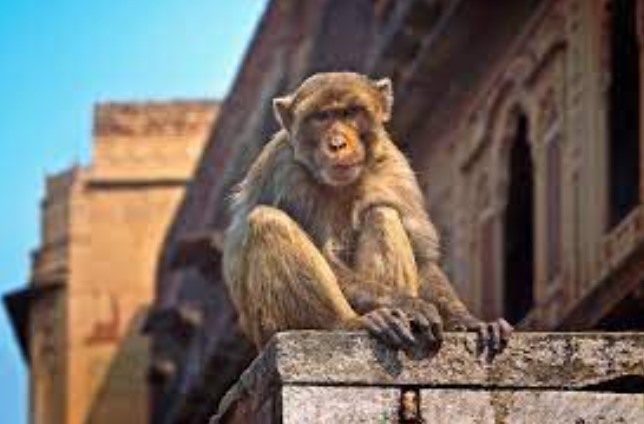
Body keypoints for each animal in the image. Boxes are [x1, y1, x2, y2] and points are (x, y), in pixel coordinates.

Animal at [222, 72, 512, 357]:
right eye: (322, 117)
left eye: (350, 112)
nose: (337, 144)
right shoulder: (284, 171)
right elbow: (326, 256)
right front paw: (408, 304)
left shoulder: (396, 169)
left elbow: (423, 258)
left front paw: (467, 321)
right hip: (267, 328)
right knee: (267, 220)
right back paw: (349, 323)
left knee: (382, 213)